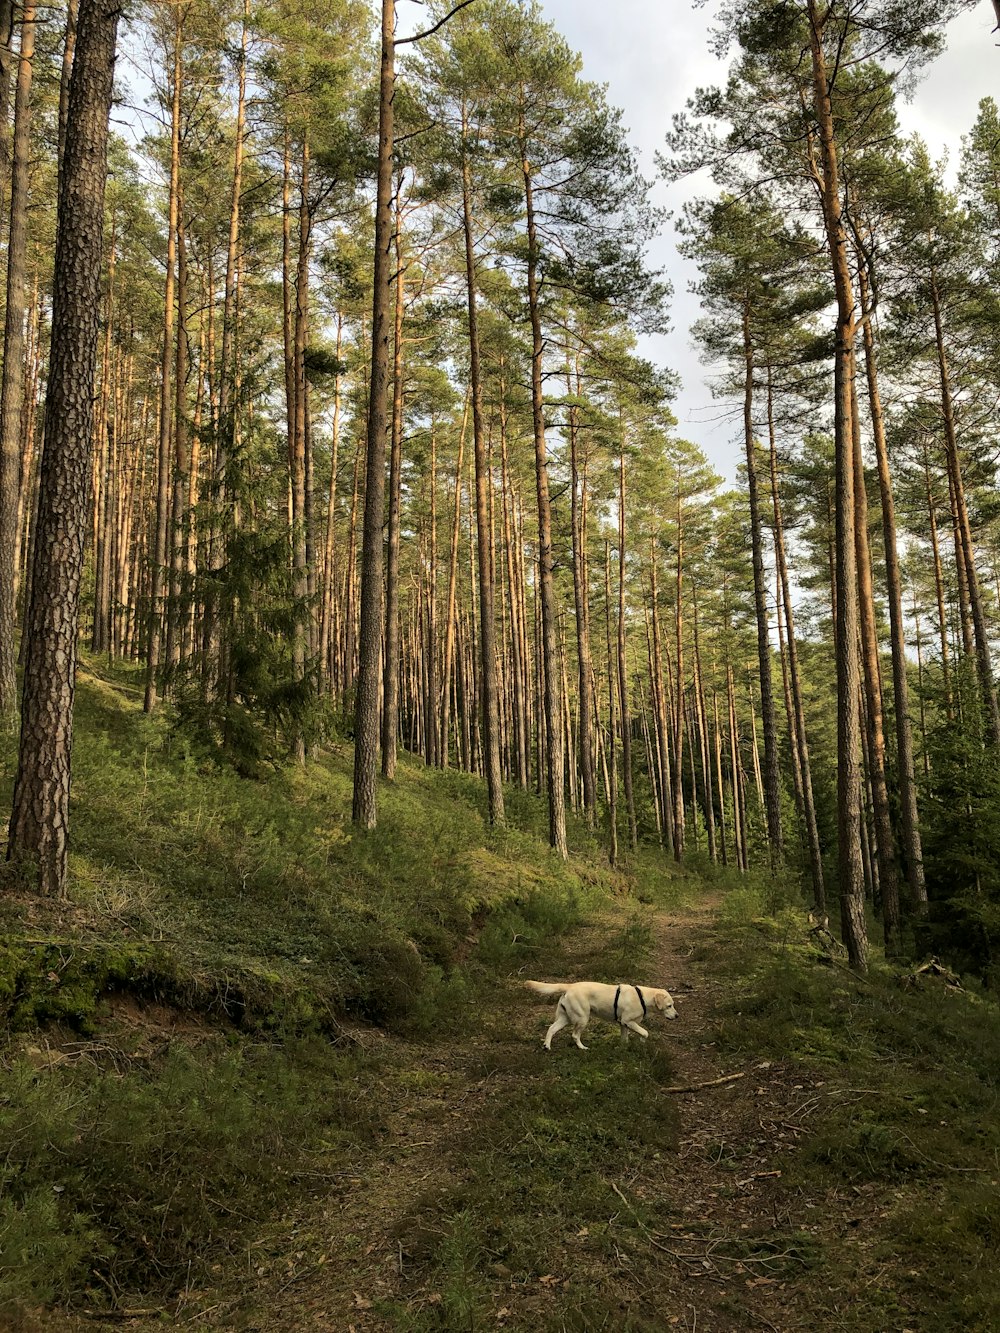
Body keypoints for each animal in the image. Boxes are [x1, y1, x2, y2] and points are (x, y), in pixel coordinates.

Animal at [525, 981, 682, 1050]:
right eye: (669, 1005)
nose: (677, 1016)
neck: (643, 997)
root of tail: (569, 986)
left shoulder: (623, 1024)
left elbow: (624, 1039)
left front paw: (623, 1049)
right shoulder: (628, 1021)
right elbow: (645, 1032)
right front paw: (642, 1042)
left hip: (565, 1018)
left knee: (551, 1028)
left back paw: (547, 1046)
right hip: (582, 1018)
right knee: (575, 1035)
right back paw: (582, 1047)